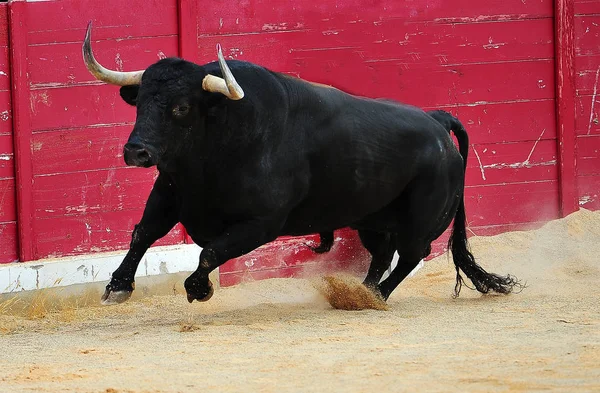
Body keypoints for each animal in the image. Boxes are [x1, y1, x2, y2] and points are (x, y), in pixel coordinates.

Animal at [82, 23, 516, 306]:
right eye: (139, 102)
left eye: (181, 107)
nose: (136, 152)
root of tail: (437, 121)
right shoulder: (170, 193)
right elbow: (143, 233)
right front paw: (117, 286)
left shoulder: (263, 223)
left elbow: (210, 252)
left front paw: (198, 289)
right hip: (371, 217)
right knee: (381, 253)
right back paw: (361, 292)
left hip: (421, 219)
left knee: (410, 254)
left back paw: (374, 297)